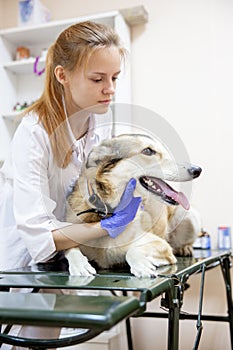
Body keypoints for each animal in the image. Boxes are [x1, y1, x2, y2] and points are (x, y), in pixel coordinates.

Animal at [64, 133, 201, 278]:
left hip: (190, 217)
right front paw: (79, 265)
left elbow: (133, 250)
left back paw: (184, 248)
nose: (197, 170)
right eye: (148, 151)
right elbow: (70, 249)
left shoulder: (162, 246)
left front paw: (141, 265)